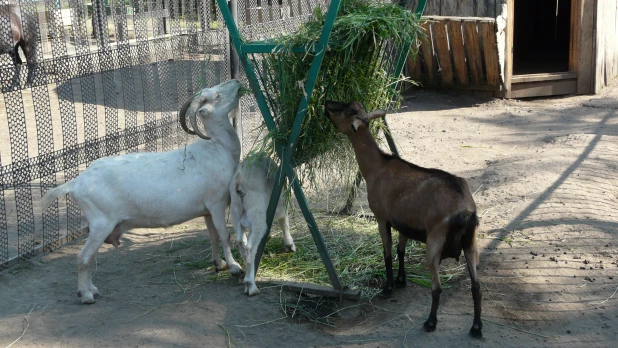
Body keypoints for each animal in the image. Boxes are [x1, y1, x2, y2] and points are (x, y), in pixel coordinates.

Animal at [41, 79, 242, 304]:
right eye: (217, 96)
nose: (237, 82)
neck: (217, 148)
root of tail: (76, 183)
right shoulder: (217, 204)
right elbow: (224, 234)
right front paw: (235, 267)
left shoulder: (207, 210)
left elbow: (213, 236)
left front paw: (219, 264)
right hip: (101, 223)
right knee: (83, 257)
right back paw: (86, 296)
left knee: (88, 257)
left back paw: (92, 289)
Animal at [229, 156, 296, 296]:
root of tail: (239, 182)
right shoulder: (281, 202)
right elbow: (284, 221)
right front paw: (289, 245)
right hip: (257, 217)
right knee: (250, 247)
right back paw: (251, 286)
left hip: (236, 215)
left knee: (241, 243)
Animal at [322, 100, 482, 338]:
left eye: (346, 110)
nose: (326, 103)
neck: (377, 168)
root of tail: (465, 211)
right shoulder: (404, 224)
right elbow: (401, 250)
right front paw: (401, 280)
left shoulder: (381, 218)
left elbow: (387, 253)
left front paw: (388, 287)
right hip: (470, 244)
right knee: (476, 286)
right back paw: (476, 328)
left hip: (435, 241)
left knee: (437, 288)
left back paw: (430, 322)